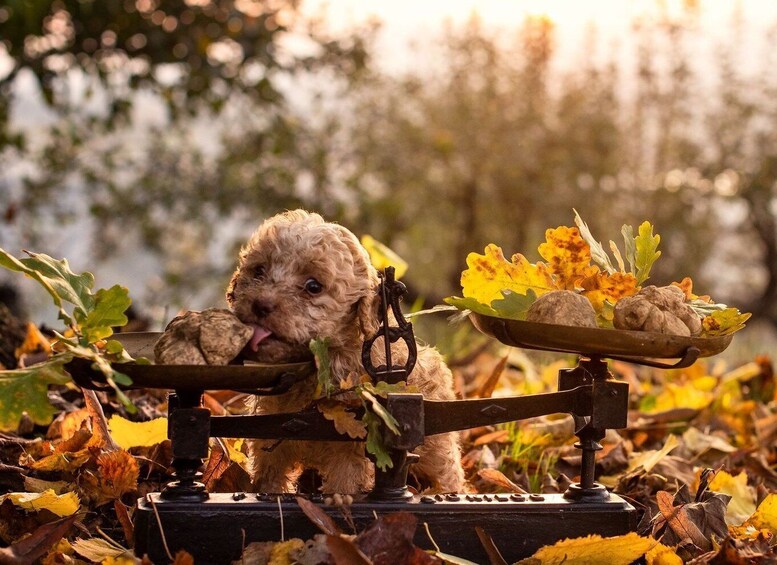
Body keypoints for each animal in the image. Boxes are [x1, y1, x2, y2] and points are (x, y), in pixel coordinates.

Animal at [227, 209, 464, 492]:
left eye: (313, 286)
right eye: (259, 271)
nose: (260, 304)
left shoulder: (351, 451)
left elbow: (344, 484)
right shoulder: (270, 439)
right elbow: (269, 478)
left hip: (438, 449)